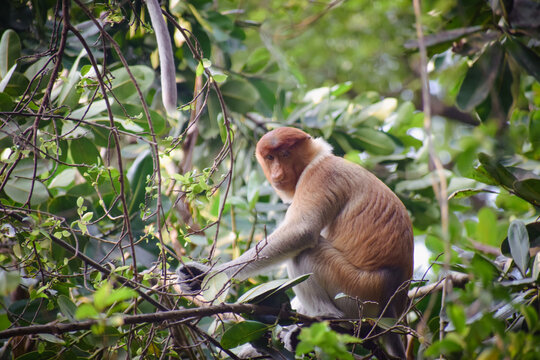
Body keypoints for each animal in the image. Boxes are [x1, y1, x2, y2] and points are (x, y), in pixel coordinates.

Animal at [178, 126, 414, 358]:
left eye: (285, 154)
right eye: (270, 157)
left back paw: (331, 320)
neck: (316, 159)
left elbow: (301, 231)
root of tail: (392, 302)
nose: (277, 173)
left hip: (357, 292)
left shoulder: (319, 176)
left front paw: (205, 274)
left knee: (304, 253)